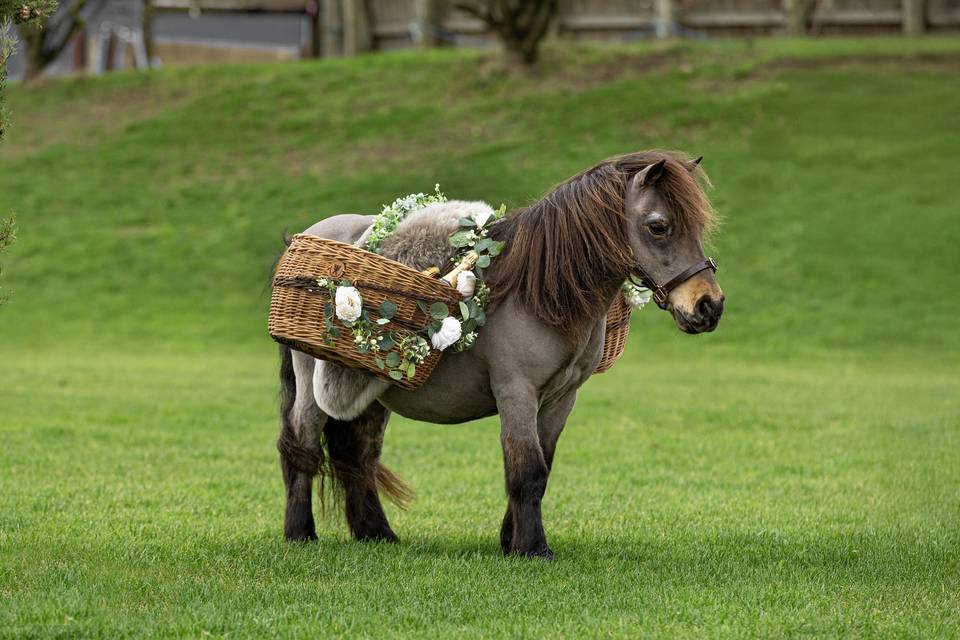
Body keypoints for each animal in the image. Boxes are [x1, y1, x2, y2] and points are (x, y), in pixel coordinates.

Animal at [276, 150, 724, 559]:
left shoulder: (561, 399)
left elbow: (541, 468)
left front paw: (511, 542)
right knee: (302, 448)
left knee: (358, 456)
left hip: (368, 391)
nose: (709, 306)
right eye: (659, 226)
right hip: (314, 388)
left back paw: (376, 533)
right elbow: (526, 468)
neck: (536, 291)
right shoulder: (517, 392)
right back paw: (300, 534)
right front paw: (533, 548)